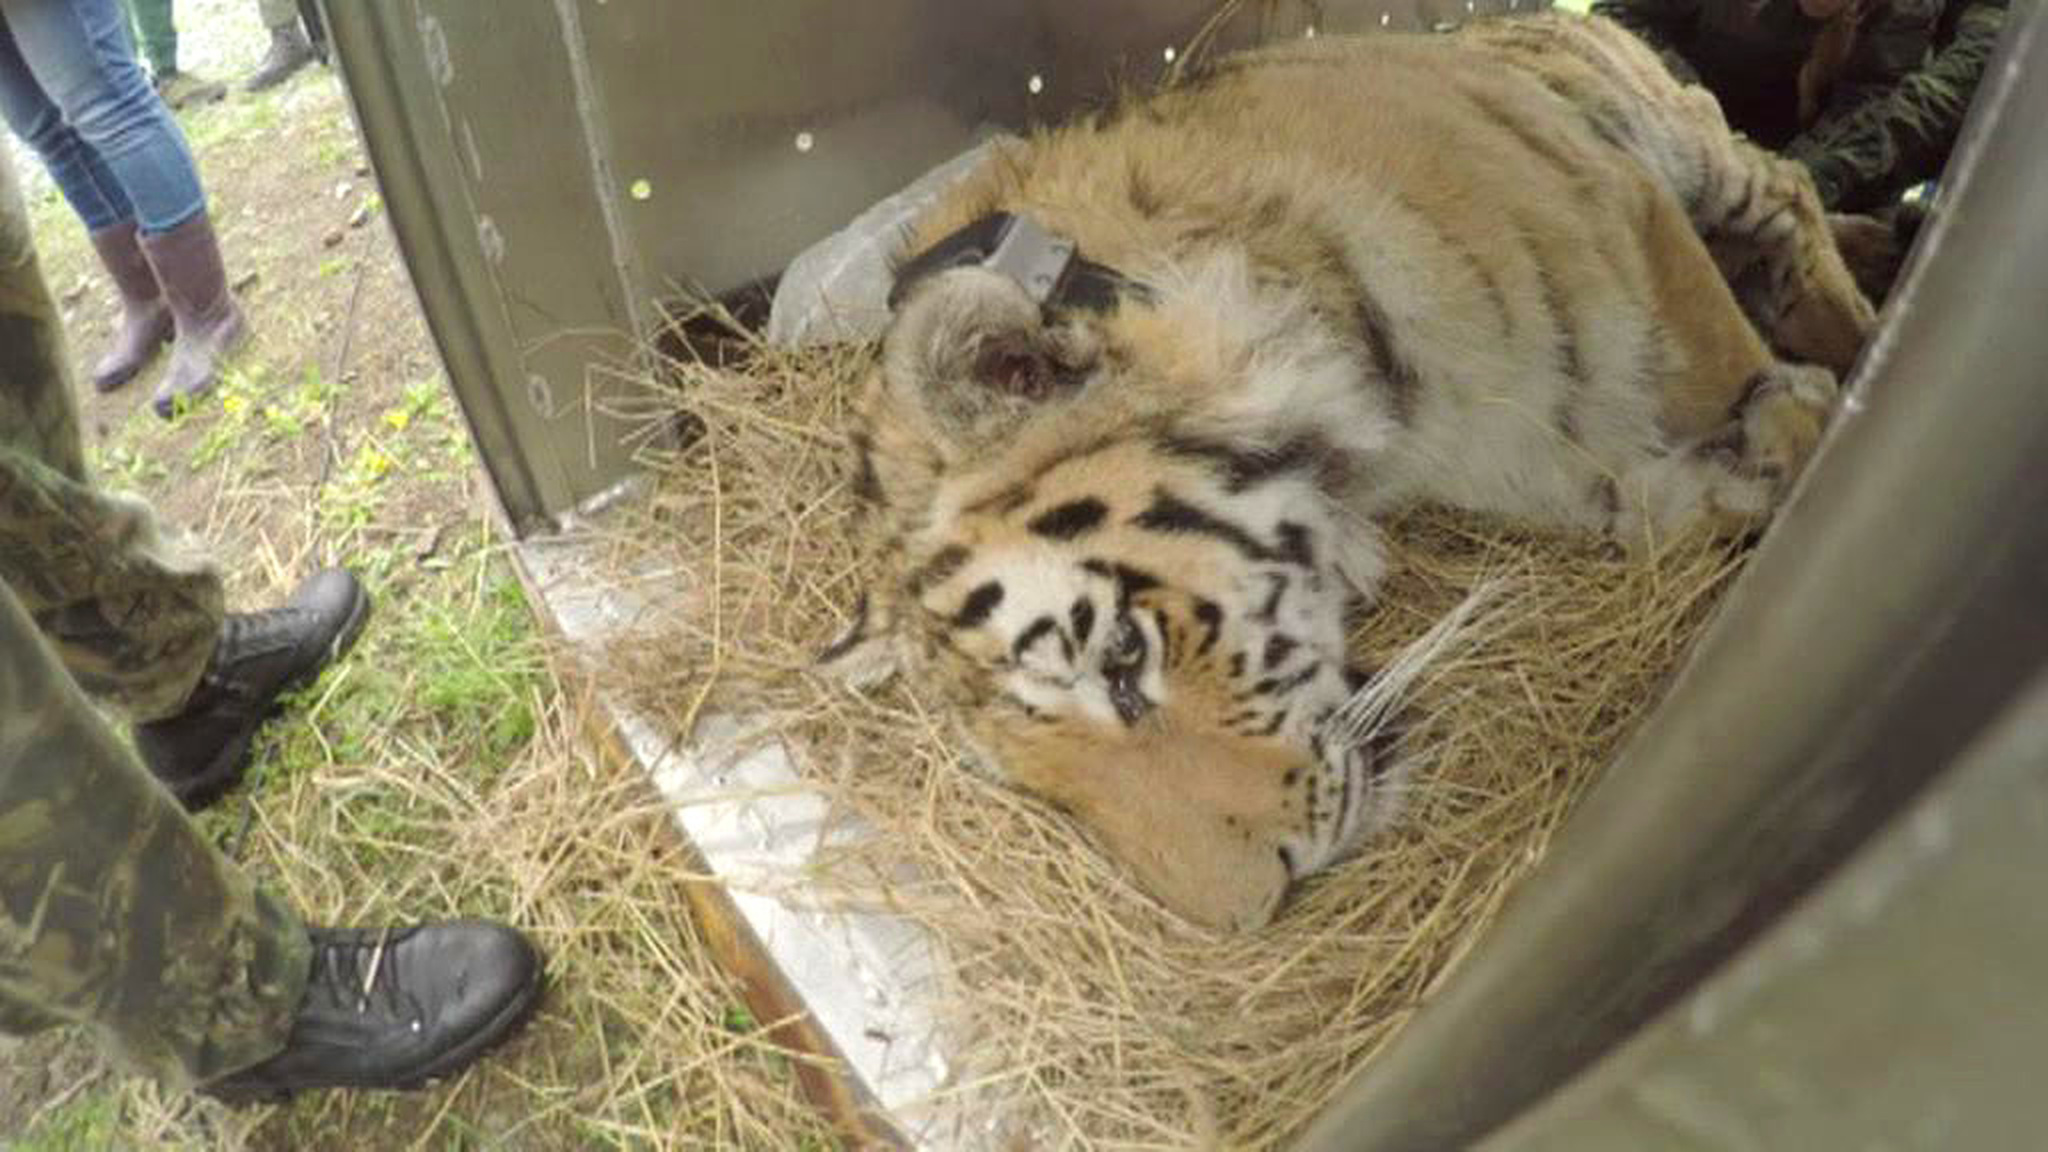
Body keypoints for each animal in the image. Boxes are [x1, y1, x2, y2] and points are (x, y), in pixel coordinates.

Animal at [818, 12, 1875, 933]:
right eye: (1044, 784)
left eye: (1122, 657)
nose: (1253, 912)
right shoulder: (1552, 462)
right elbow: (1665, 513)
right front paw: (1753, 465)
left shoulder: (1624, 213)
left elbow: (1725, 370)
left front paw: (1802, 416)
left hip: (1683, 146)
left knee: (1787, 187)